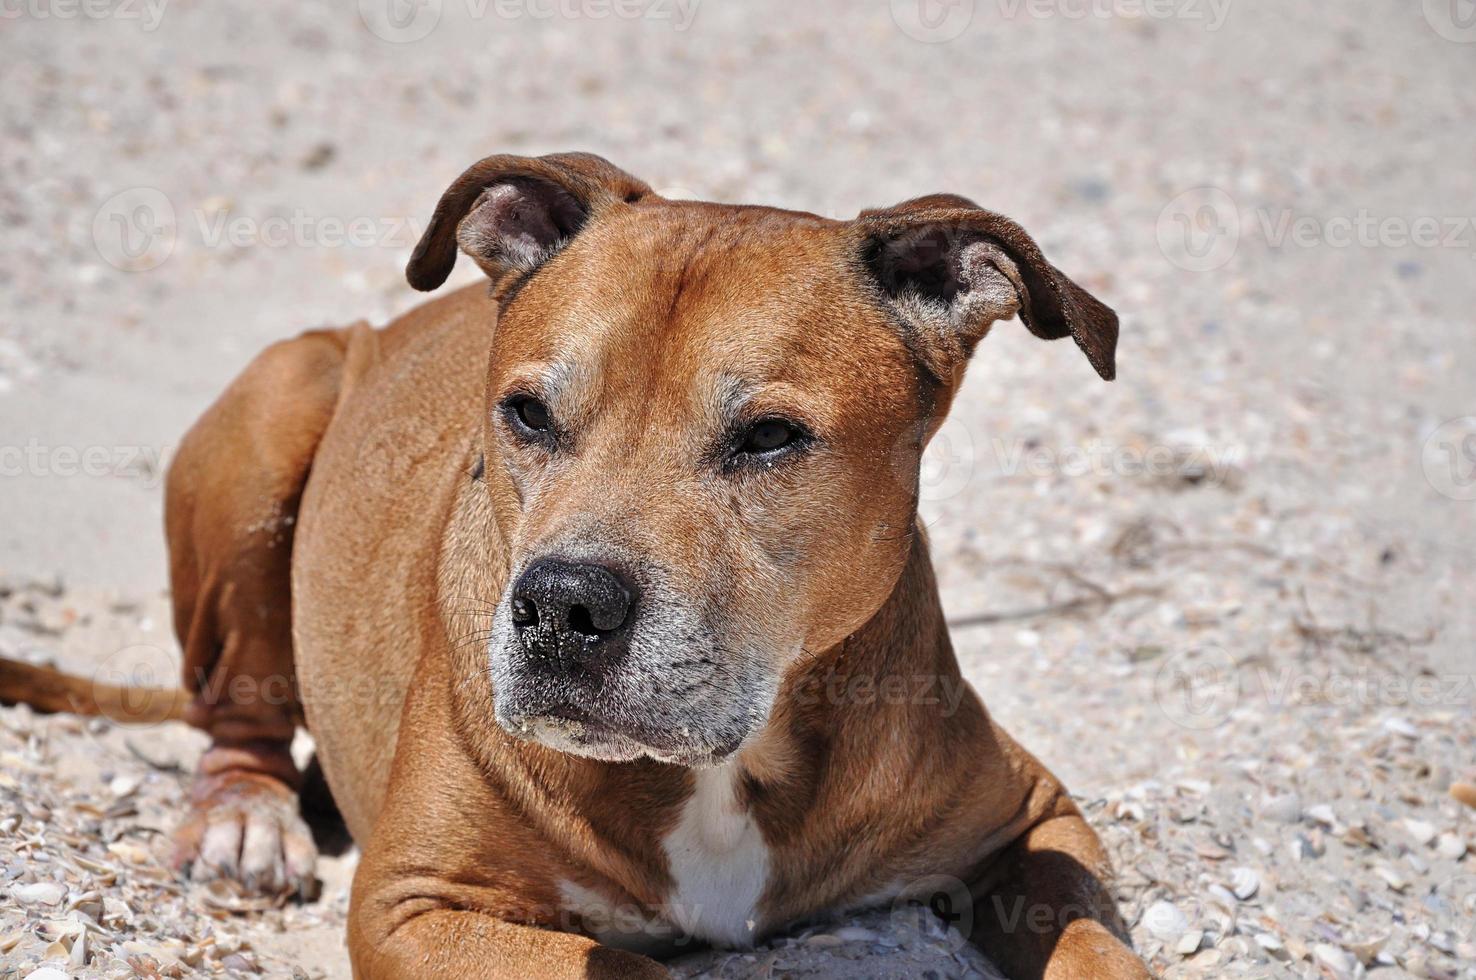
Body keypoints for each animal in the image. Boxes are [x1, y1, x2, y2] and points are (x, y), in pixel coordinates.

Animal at [0, 153, 1145, 980]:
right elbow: (633, 974)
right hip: (281, 401)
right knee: (236, 713)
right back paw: (245, 823)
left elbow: (1092, 943)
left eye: (770, 437)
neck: (729, 768)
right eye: (526, 413)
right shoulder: (416, 903)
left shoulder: (1038, 822)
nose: (563, 605)